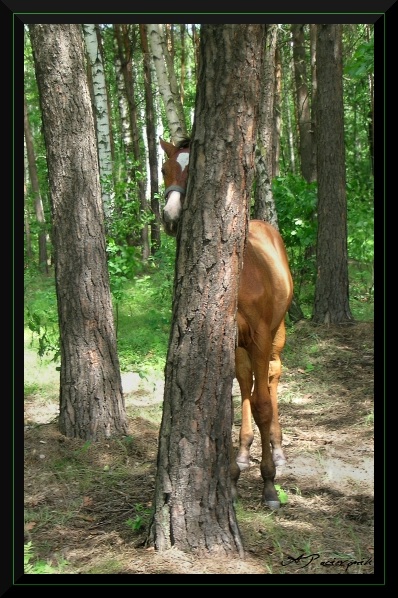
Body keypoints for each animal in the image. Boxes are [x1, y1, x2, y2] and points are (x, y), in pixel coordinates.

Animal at [159, 138, 292, 508]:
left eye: (197, 166)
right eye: (164, 168)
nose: (170, 216)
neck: (243, 274)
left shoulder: (260, 337)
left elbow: (263, 405)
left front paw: (269, 484)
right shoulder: (230, 340)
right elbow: (233, 403)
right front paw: (231, 477)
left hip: (277, 335)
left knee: (272, 377)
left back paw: (277, 450)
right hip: (244, 348)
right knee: (247, 383)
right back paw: (244, 454)